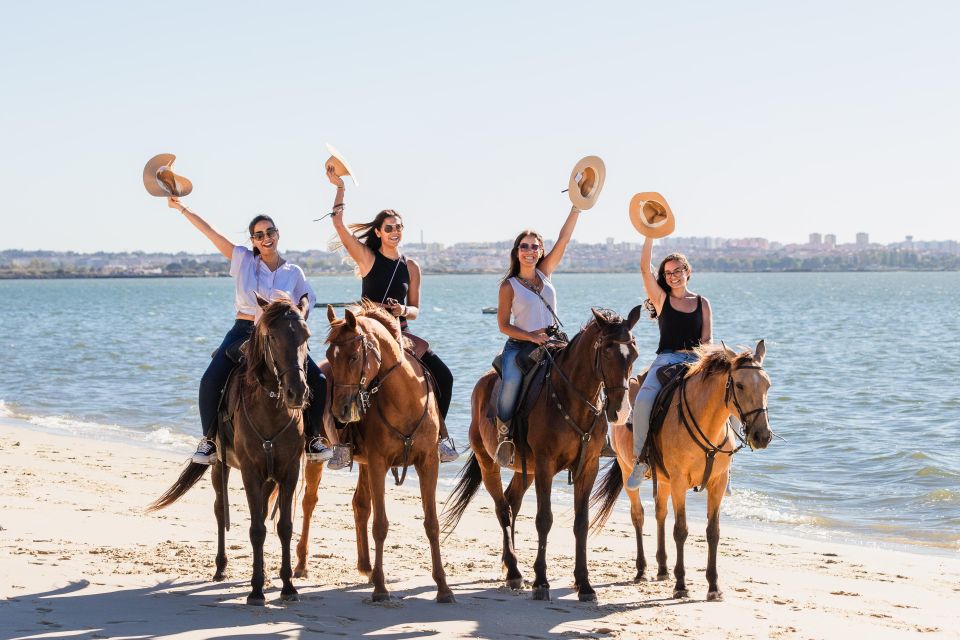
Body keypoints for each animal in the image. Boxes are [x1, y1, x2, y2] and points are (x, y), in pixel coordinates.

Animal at [147, 296, 312, 604]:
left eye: (306, 336)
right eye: (273, 337)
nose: (297, 392)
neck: (272, 407)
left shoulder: (289, 471)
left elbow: (283, 527)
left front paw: (287, 586)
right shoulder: (250, 471)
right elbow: (256, 529)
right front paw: (256, 590)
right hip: (219, 466)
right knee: (220, 511)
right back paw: (221, 567)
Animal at [294, 302, 456, 604]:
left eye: (354, 356)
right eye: (330, 356)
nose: (340, 411)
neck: (405, 400)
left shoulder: (428, 462)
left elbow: (432, 523)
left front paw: (443, 587)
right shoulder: (380, 463)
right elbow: (380, 524)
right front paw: (381, 589)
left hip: (365, 463)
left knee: (360, 505)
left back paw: (366, 567)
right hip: (320, 458)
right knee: (309, 502)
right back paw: (301, 564)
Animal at [440, 308, 636, 604]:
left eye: (633, 353)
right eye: (607, 352)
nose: (620, 411)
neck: (572, 399)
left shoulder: (587, 466)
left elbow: (581, 523)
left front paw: (584, 584)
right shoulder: (546, 464)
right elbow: (544, 519)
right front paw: (541, 582)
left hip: (526, 470)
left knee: (512, 502)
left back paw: (511, 565)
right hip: (489, 463)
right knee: (502, 508)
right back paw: (513, 571)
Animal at [588, 342, 776, 604]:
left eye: (767, 385)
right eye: (739, 385)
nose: (762, 436)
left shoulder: (717, 484)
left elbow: (713, 532)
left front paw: (713, 586)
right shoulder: (679, 482)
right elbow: (681, 530)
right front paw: (681, 585)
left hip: (664, 480)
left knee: (660, 513)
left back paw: (662, 568)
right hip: (628, 471)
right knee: (638, 515)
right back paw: (642, 570)